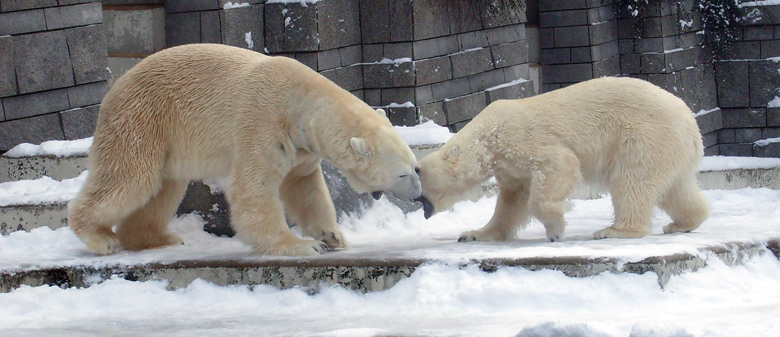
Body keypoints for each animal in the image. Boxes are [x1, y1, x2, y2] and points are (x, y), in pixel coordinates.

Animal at [67, 43, 420, 256]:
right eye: (403, 173)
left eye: (415, 166)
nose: (418, 195)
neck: (300, 102)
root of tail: (115, 88)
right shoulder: (262, 122)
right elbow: (253, 187)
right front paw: (300, 245)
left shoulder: (303, 148)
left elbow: (305, 188)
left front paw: (333, 236)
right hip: (143, 119)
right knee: (131, 179)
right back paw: (101, 238)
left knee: (163, 188)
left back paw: (157, 238)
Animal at [418, 76, 708, 242]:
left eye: (419, 179)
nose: (422, 210)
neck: (488, 136)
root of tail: (691, 125)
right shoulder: (508, 165)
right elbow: (512, 199)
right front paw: (474, 234)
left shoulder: (520, 138)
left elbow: (559, 164)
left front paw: (555, 228)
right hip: (669, 148)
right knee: (675, 189)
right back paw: (683, 223)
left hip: (643, 136)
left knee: (631, 180)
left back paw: (615, 230)